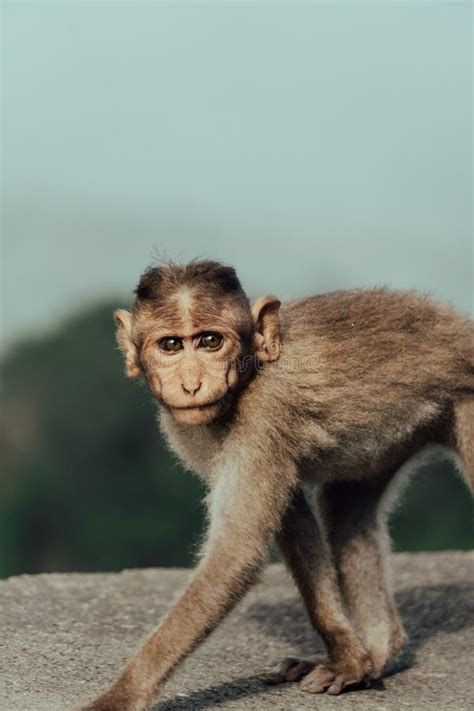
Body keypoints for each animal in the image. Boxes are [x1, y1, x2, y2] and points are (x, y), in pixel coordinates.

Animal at [78, 262, 474, 711]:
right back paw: (380, 650)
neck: (248, 376)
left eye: (210, 341)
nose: (192, 384)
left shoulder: (264, 412)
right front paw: (347, 654)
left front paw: (123, 693)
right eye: (171, 345)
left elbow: (237, 551)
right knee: (346, 511)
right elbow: (292, 516)